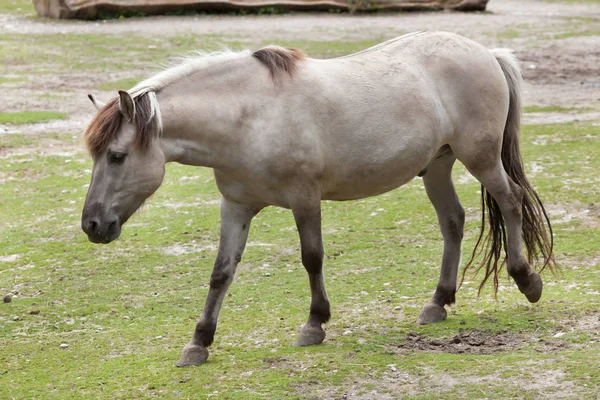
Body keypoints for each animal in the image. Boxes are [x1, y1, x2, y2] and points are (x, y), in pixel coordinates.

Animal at [82, 31, 556, 368]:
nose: (92, 225)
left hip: (481, 158)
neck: (249, 117)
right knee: (453, 221)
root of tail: (486, 52)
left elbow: (312, 258)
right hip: (437, 167)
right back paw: (438, 302)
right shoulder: (235, 207)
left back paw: (526, 280)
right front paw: (199, 343)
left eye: (117, 156)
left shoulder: (305, 199)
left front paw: (314, 324)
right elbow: (221, 273)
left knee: (511, 201)